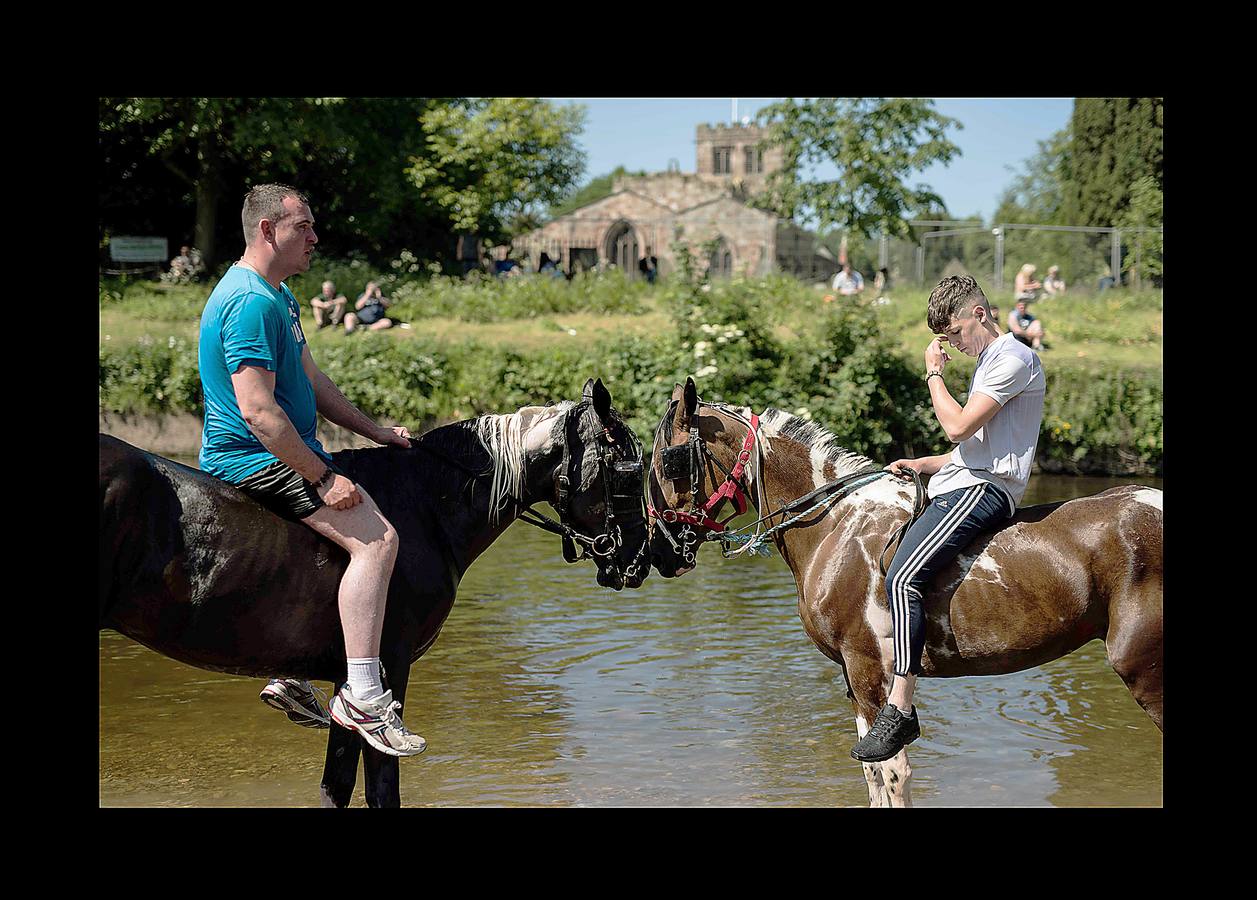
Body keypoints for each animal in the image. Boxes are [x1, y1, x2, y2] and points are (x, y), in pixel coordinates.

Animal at [98, 379, 648, 809]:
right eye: (628, 470)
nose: (640, 559)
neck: (424, 506)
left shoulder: (345, 684)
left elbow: (336, 786)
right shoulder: (390, 663)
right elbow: (383, 788)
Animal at [653, 379, 1161, 809]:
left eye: (671, 461)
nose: (661, 550)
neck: (834, 525)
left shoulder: (869, 670)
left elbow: (892, 772)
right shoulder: (853, 679)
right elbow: (874, 777)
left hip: (1142, 668)